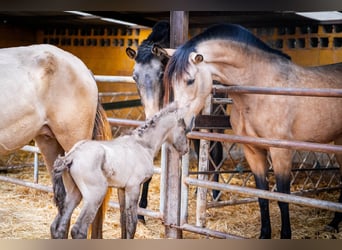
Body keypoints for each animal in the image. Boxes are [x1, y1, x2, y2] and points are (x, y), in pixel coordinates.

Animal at [49, 102, 188, 239]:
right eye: (184, 129)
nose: (185, 150)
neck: (142, 145)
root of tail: (71, 156)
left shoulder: (122, 188)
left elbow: (124, 220)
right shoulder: (134, 187)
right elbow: (132, 224)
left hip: (74, 193)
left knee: (57, 227)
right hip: (95, 195)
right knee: (78, 230)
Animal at [164, 23, 342, 238]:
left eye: (190, 80)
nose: (177, 123)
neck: (260, 89)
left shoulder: (281, 152)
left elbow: (283, 197)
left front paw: (285, 235)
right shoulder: (253, 151)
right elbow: (261, 196)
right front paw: (264, 234)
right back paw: (333, 223)